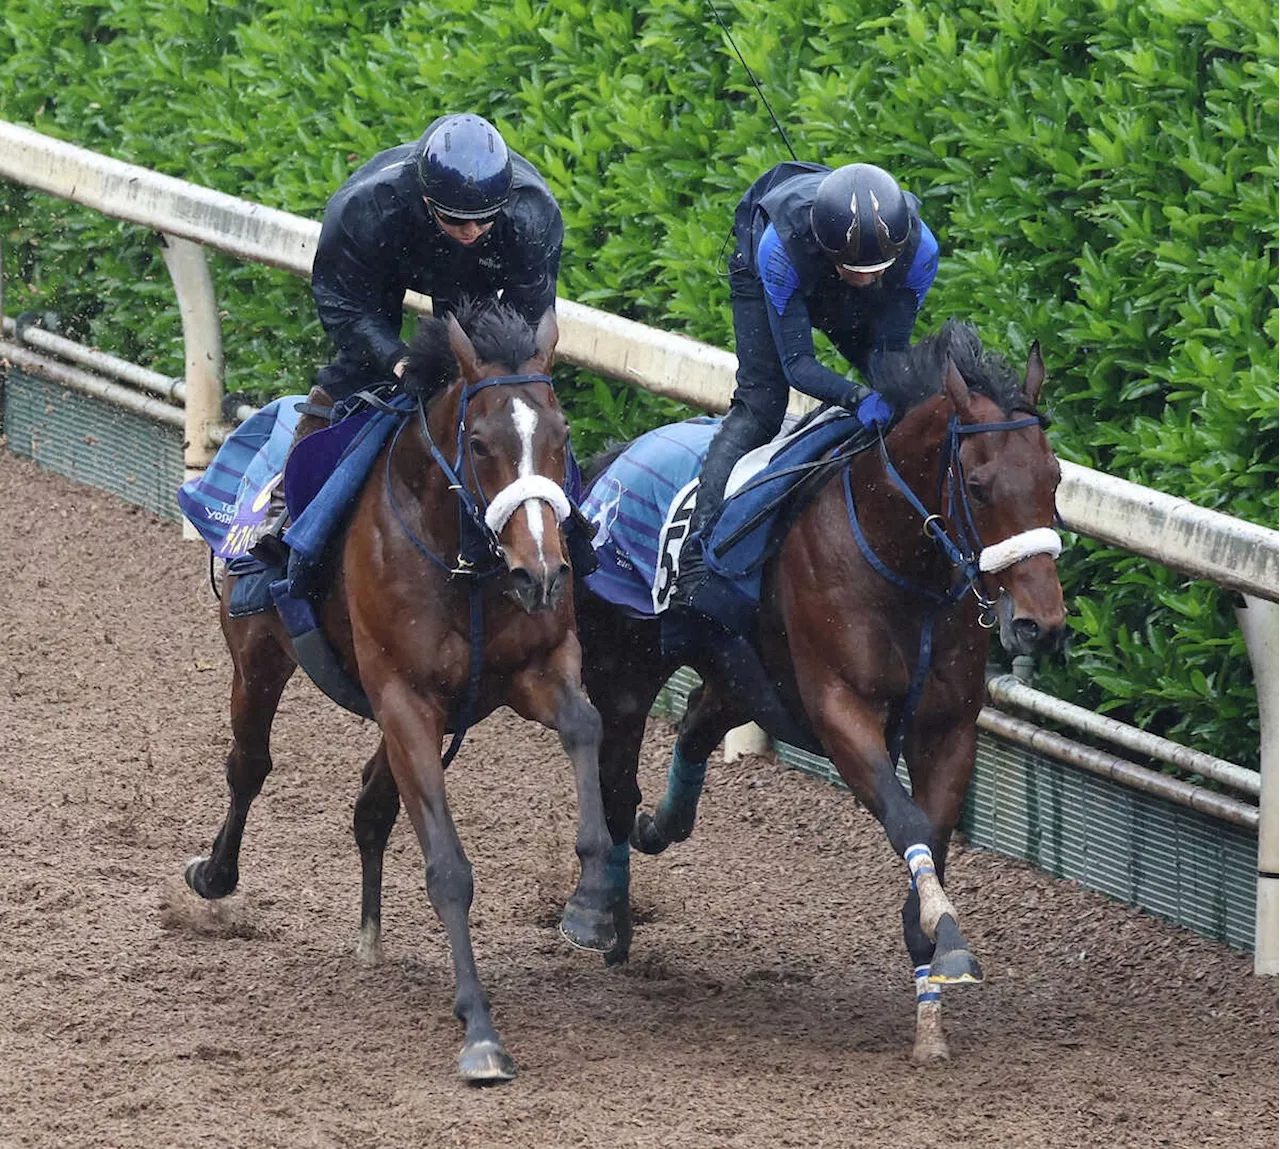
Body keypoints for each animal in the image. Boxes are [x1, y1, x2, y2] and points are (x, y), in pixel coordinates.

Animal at [183, 299, 616, 1079]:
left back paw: (369, 933)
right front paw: (479, 1029)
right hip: (259, 652)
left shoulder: (533, 669)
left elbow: (585, 726)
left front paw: (592, 904)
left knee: (369, 803)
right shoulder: (406, 699)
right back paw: (215, 874)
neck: (465, 559)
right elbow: (447, 867)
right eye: (480, 443)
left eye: (561, 437)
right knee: (250, 763)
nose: (542, 571)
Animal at [576, 317, 1064, 1059]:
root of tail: (616, 459)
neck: (903, 567)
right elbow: (908, 822)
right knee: (614, 780)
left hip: (743, 676)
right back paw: (602, 915)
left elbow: (933, 841)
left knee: (691, 726)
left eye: (1054, 476)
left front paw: (933, 996)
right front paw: (948, 945)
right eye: (978, 486)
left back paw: (658, 829)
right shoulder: (841, 712)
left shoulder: (946, 729)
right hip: (625, 668)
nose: (1043, 623)